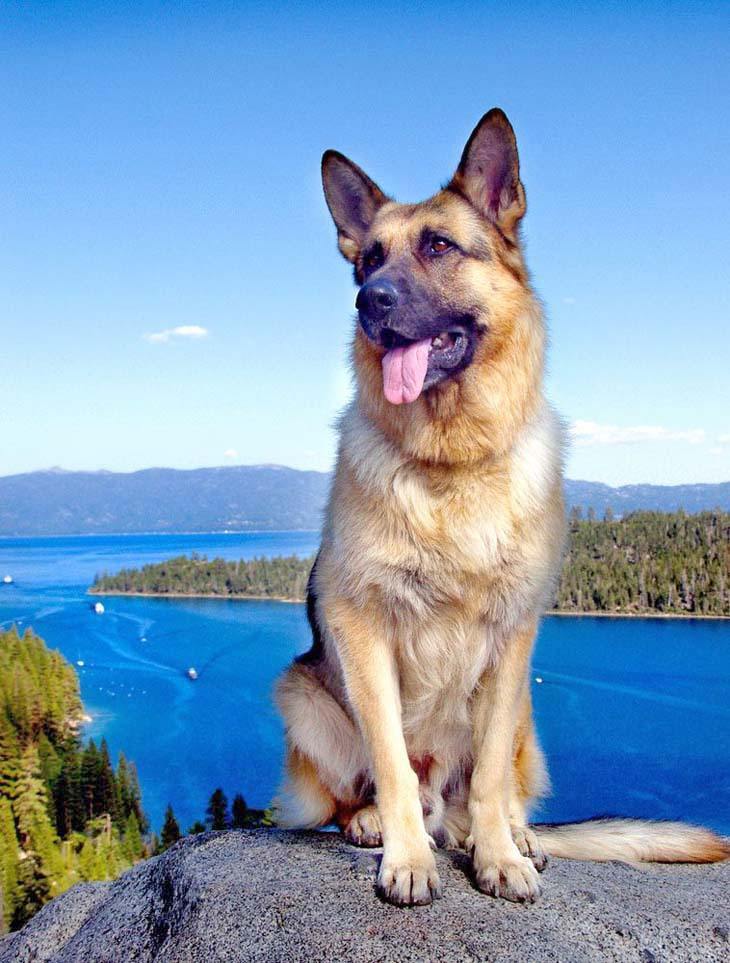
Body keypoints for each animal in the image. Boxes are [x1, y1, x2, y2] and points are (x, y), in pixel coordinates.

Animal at [274, 109, 728, 908]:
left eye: (438, 246)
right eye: (369, 261)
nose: (369, 302)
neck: (452, 463)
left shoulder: (513, 638)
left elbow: (486, 775)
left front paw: (497, 856)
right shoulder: (360, 626)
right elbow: (390, 761)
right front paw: (406, 857)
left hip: (523, 712)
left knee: (491, 791)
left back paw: (512, 835)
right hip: (303, 692)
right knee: (361, 792)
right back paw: (376, 823)